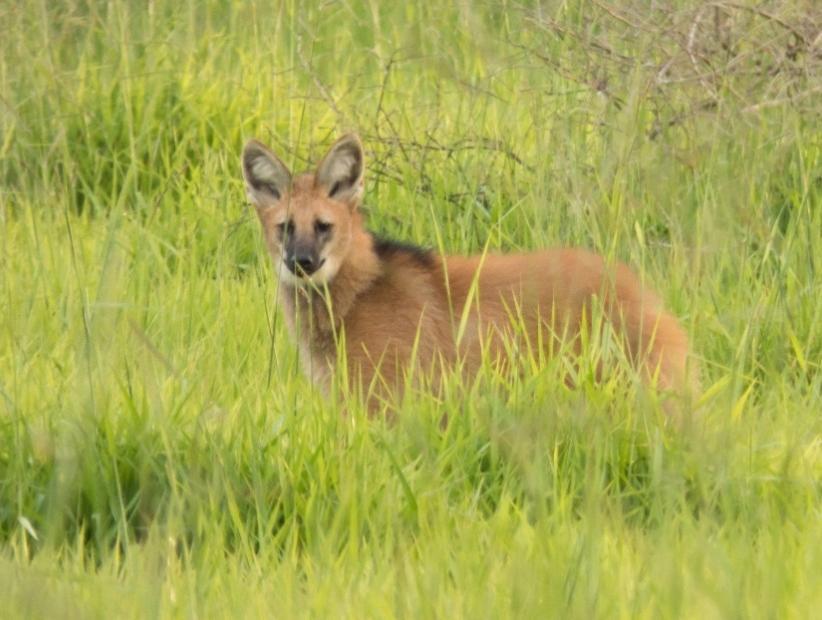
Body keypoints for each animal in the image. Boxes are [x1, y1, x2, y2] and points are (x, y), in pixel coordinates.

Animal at [241, 134, 700, 414]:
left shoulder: (385, 400)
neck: (355, 295)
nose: (301, 263)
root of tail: (641, 290)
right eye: (285, 228)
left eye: (323, 226)